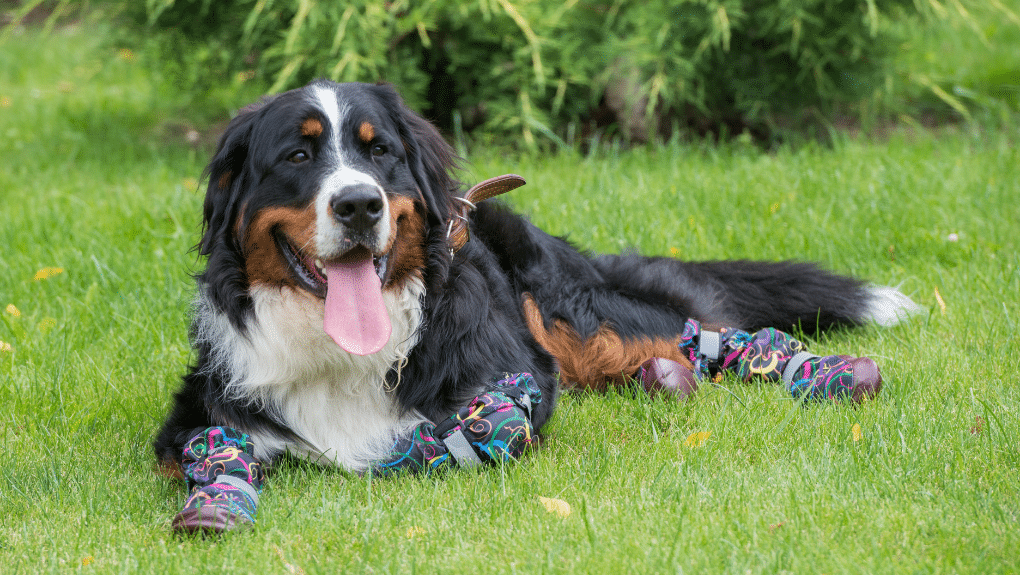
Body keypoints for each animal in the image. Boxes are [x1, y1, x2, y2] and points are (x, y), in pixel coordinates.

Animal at [153, 77, 926, 477]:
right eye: (298, 154)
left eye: (379, 153)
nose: (359, 204)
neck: (343, 353)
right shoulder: (197, 417)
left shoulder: (508, 376)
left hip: (574, 308)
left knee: (699, 334)